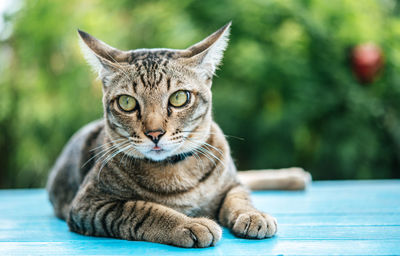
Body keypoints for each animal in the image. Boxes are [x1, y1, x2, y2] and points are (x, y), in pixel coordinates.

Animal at [46, 22, 310, 248]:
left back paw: (294, 176)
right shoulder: (89, 204)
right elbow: (142, 209)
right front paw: (189, 224)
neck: (177, 171)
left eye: (179, 97)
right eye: (127, 102)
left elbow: (239, 197)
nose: (154, 133)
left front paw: (253, 215)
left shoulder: (232, 184)